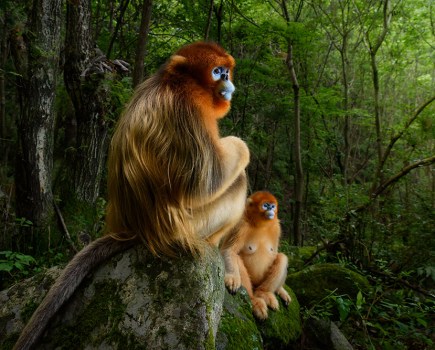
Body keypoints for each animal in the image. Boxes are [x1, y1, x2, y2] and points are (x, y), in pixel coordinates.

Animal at [14, 41, 252, 350]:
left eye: (225, 70)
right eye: (216, 71)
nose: (226, 79)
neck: (172, 82)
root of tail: (135, 230)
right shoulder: (188, 109)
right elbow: (206, 182)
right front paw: (240, 145)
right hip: (192, 225)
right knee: (237, 180)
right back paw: (214, 247)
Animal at [223, 191, 292, 320]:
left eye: (272, 206)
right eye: (265, 205)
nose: (270, 209)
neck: (261, 225)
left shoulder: (276, 227)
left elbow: (275, 253)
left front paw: (281, 290)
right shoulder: (241, 225)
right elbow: (229, 251)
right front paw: (232, 277)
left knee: (282, 257)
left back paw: (264, 293)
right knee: (237, 259)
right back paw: (255, 300)